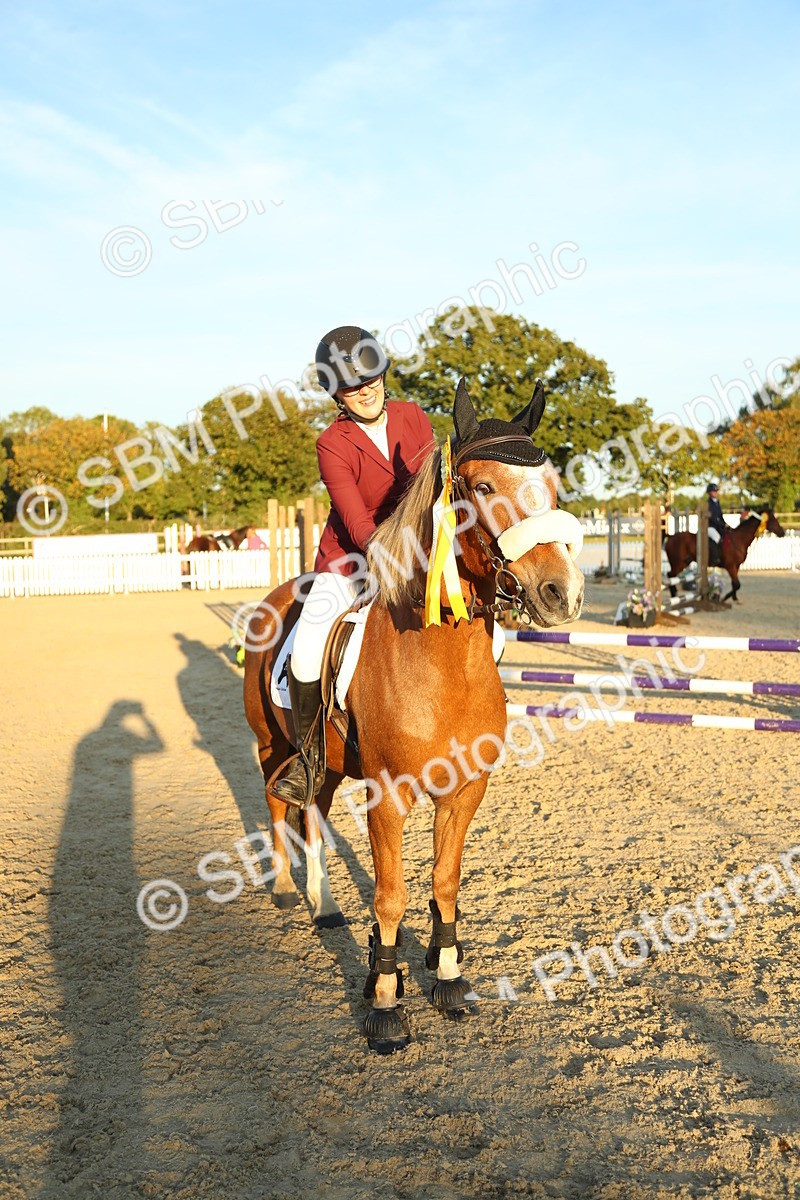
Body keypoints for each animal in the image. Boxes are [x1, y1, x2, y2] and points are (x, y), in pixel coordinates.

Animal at [243, 379, 584, 1053]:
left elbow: (444, 881)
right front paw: (383, 1002)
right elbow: (390, 896)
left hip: (326, 766)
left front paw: (445, 976)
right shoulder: (388, 795)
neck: (442, 663)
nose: (563, 592)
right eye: (482, 487)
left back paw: (324, 905)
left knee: (314, 814)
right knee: (278, 803)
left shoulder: (466, 789)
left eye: (553, 486)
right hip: (274, 745)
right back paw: (284, 889)